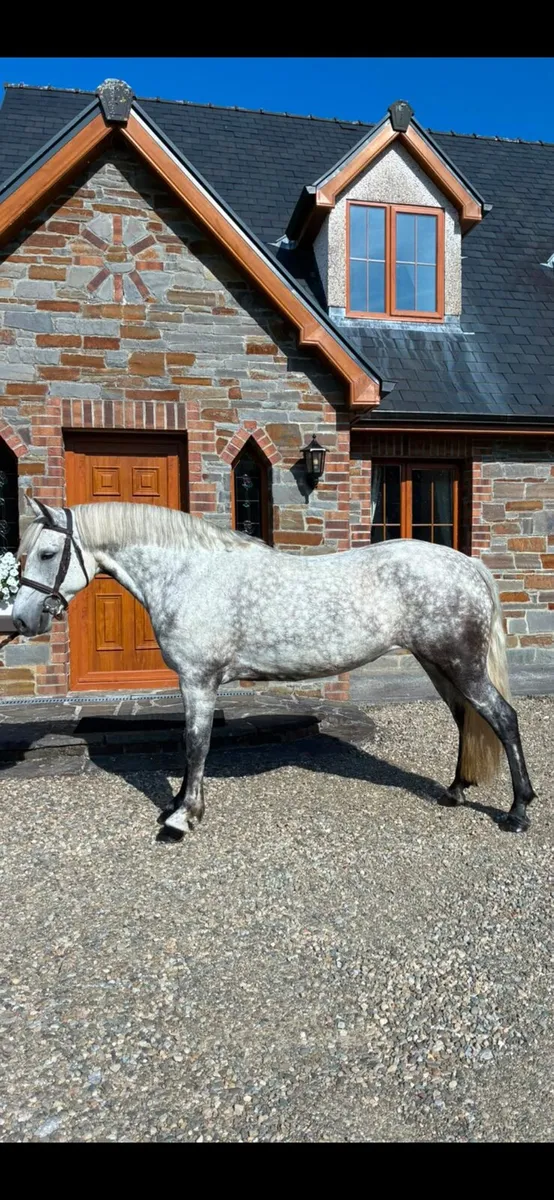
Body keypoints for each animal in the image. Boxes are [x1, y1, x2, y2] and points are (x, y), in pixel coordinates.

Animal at [12, 497, 537, 837]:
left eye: (47, 553)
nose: (21, 619)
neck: (190, 576)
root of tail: (467, 564)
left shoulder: (198, 681)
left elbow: (196, 745)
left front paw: (183, 818)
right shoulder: (194, 683)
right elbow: (189, 746)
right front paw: (177, 805)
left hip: (461, 665)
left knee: (503, 718)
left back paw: (517, 811)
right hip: (439, 665)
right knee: (468, 720)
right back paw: (455, 791)